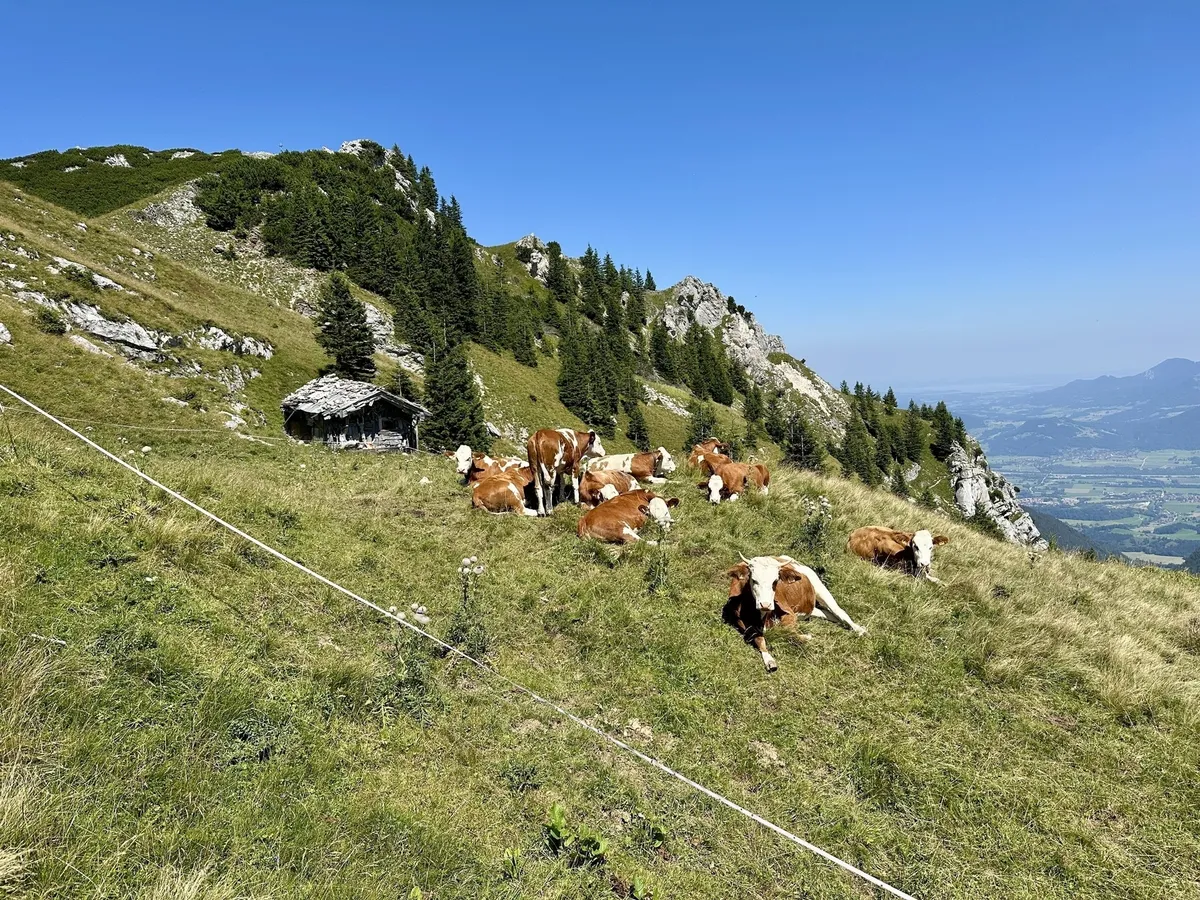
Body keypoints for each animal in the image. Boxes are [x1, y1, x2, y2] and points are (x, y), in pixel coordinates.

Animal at [724, 554, 867, 672]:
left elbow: (788, 631)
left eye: (775, 581)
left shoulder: (789, 613)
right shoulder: (741, 622)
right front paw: (769, 660)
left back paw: (860, 630)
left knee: (839, 611)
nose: (765, 604)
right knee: (829, 614)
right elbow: (758, 638)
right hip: (810, 609)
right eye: (754, 580)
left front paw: (806, 637)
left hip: (820, 588)